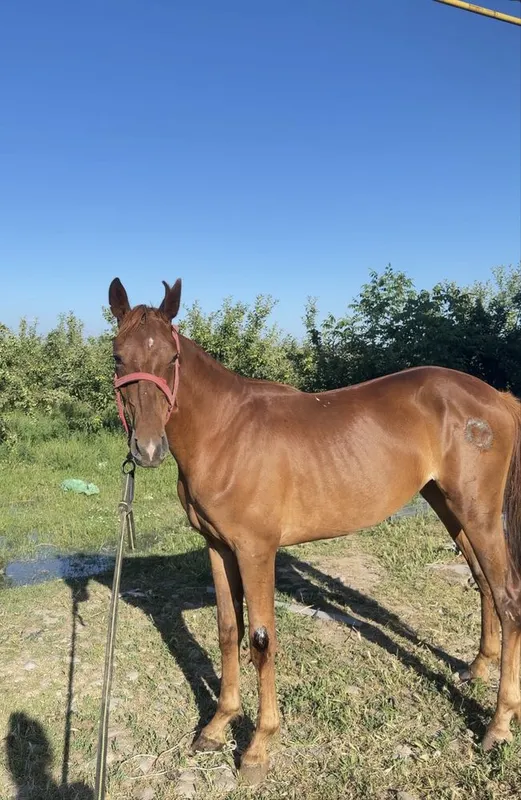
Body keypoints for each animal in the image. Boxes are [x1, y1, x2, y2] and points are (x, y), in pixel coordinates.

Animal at [108, 276, 521, 784]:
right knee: (483, 583)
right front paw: (218, 724)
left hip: (478, 512)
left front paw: (258, 747)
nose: (148, 449)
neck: (225, 432)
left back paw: (498, 725)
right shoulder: (218, 548)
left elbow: (261, 640)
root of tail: (496, 397)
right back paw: (477, 669)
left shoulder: (256, 551)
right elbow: (227, 630)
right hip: (447, 505)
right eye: (118, 357)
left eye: (172, 358)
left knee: (507, 597)